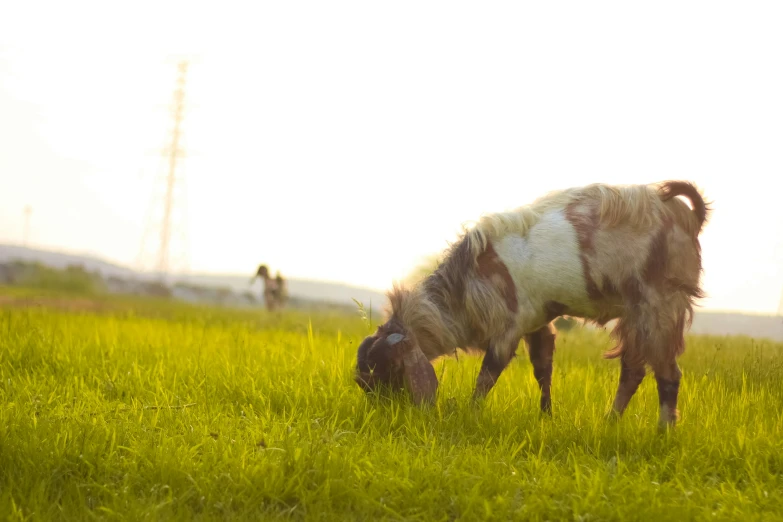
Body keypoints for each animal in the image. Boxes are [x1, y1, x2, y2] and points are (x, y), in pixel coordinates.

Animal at [356, 179, 712, 426]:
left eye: (388, 371)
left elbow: (488, 374)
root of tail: (686, 214)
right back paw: (610, 422)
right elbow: (543, 370)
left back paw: (663, 431)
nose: (385, 416)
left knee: (668, 374)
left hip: (660, 307)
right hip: (635, 314)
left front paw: (471, 413)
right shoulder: (538, 323)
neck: (466, 283)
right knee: (633, 371)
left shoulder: (509, 327)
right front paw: (546, 416)